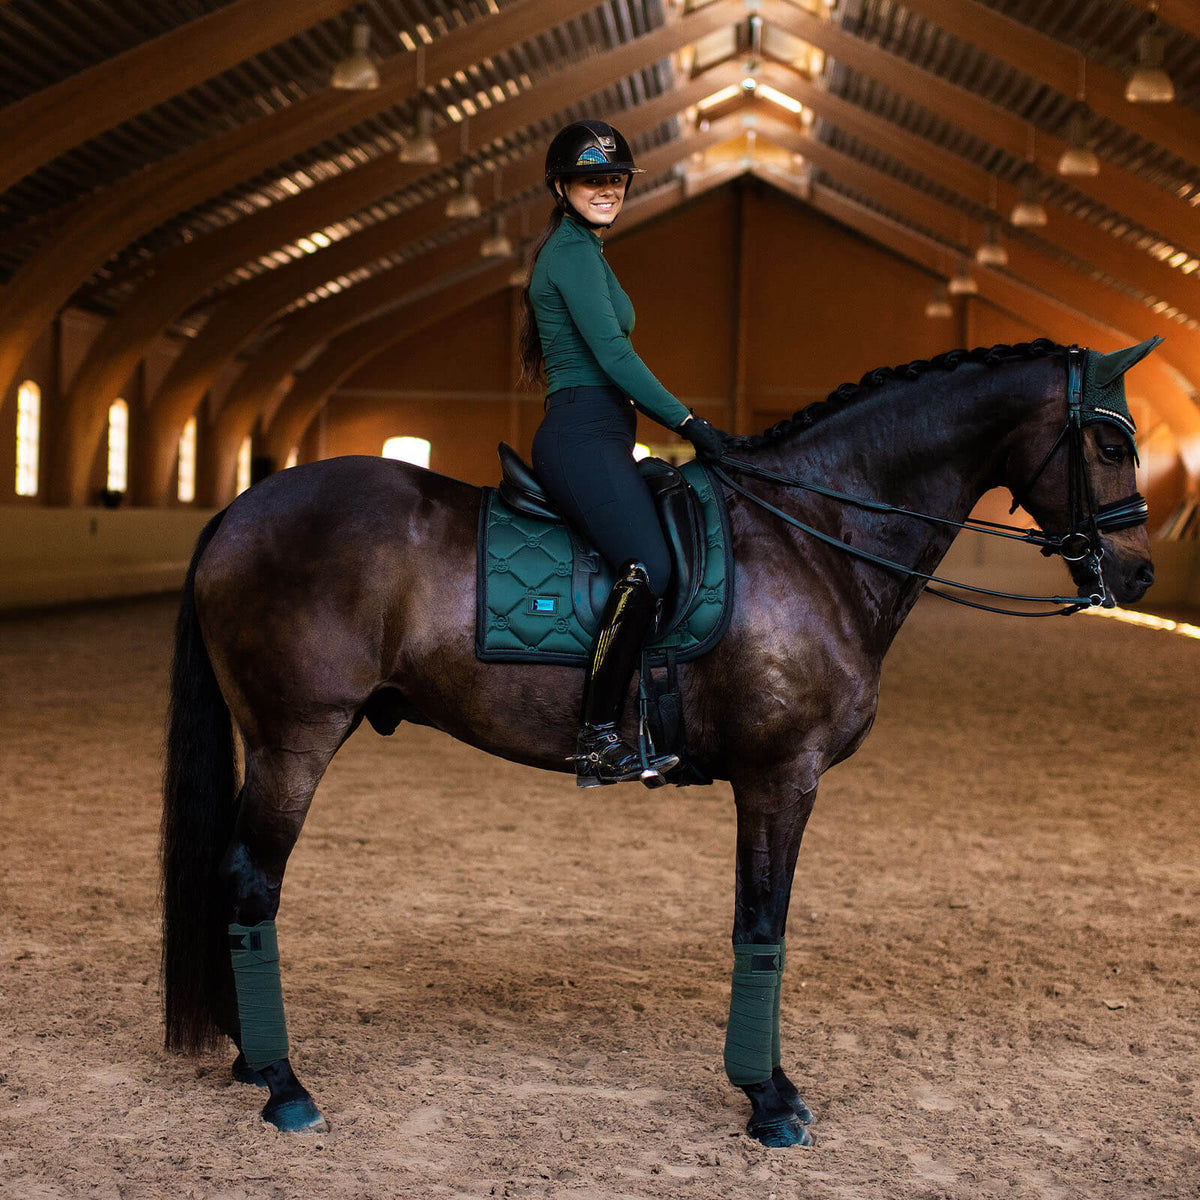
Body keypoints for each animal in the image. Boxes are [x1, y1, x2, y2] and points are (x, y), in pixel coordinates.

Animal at [161, 338, 1157, 1148]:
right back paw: (285, 1086)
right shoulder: (781, 776)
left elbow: (760, 922)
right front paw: (769, 1101)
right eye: (1111, 445)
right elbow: (762, 924)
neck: (814, 537)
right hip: (296, 741)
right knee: (251, 880)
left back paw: (251, 1058)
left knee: (231, 875)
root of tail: (241, 509)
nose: (1141, 572)